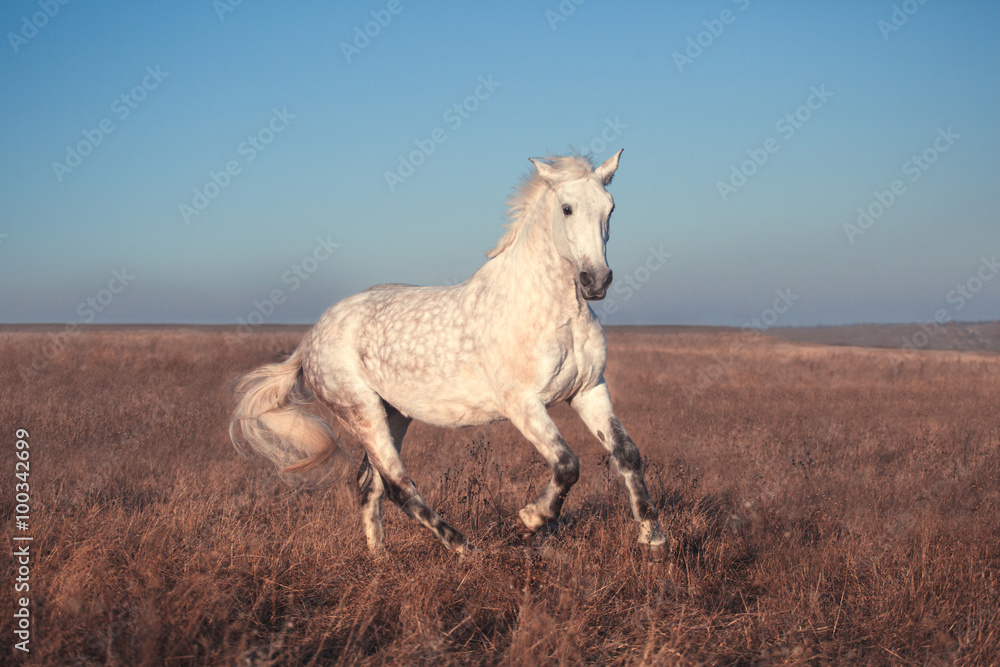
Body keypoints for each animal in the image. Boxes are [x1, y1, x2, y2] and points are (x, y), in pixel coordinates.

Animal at [230, 149, 668, 560]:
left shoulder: (589, 390)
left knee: (368, 484)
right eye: (567, 208)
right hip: (361, 412)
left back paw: (380, 558)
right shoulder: (522, 404)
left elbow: (627, 454)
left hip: (394, 413)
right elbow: (567, 464)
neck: (553, 310)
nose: (596, 281)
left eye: (610, 207)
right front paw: (530, 521)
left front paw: (654, 539)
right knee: (398, 485)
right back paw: (463, 547)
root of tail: (312, 336)